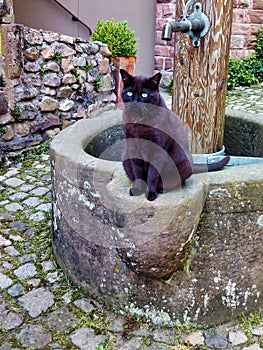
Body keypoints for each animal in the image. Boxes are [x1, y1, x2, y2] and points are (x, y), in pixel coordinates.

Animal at [120, 69, 230, 201]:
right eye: (130, 93)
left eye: (144, 95)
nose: (135, 101)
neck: (139, 122)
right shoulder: (133, 147)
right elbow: (137, 173)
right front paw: (137, 189)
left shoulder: (157, 149)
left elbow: (152, 175)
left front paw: (151, 194)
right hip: (125, 157)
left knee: (180, 181)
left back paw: (162, 189)